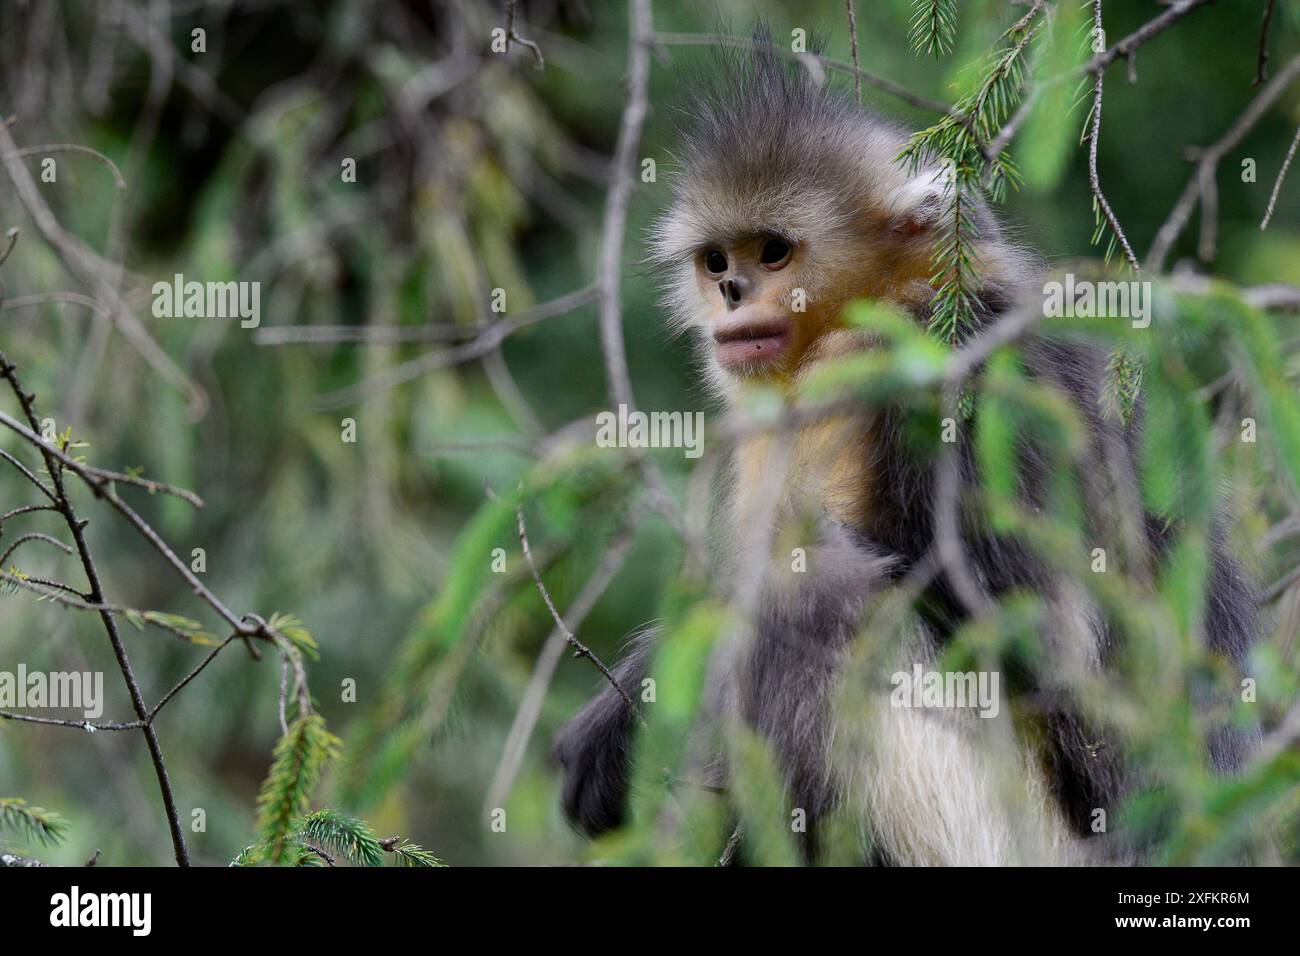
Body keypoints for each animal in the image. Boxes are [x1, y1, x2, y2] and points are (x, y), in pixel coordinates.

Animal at [553, 35, 1259, 865]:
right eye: (717, 261)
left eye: (774, 252)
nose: (731, 294)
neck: (881, 307)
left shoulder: (952, 368)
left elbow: (1043, 644)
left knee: (816, 591)